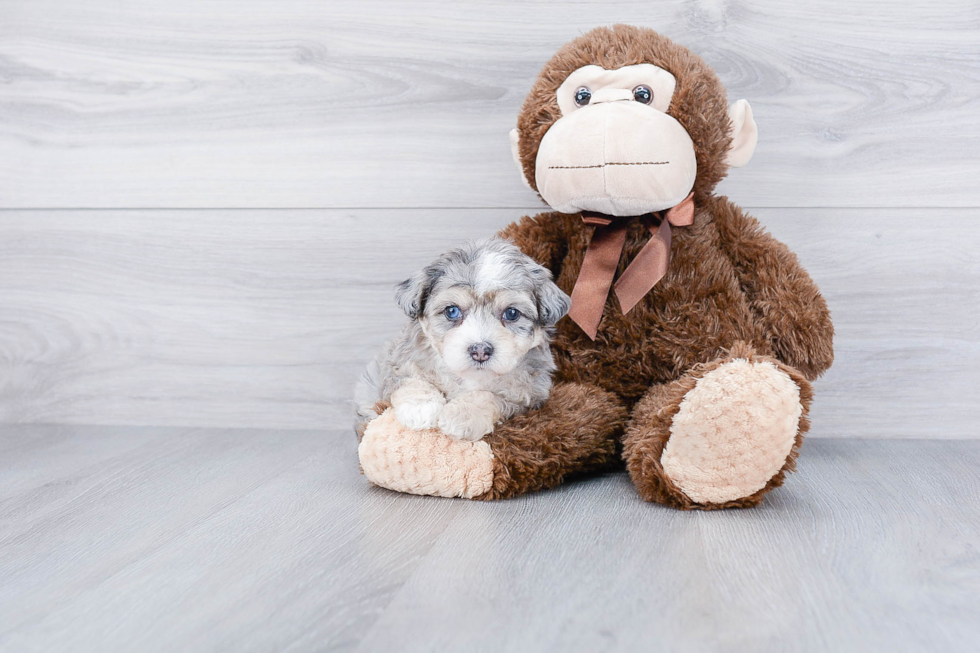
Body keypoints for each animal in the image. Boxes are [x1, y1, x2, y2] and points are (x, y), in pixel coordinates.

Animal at [354, 237, 572, 440]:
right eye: (452, 311)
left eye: (511, 313)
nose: (480, 351)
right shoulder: (397, 363)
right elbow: (410, 379)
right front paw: (419, 407)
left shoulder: (528, 396)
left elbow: (490, 396)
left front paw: (462, 415)